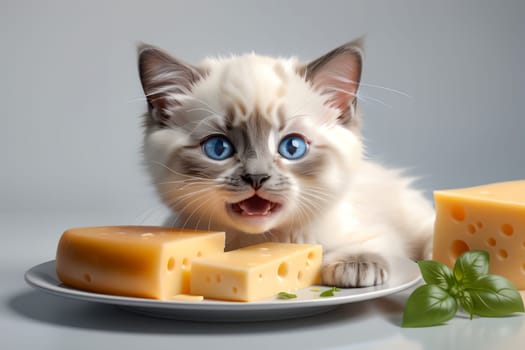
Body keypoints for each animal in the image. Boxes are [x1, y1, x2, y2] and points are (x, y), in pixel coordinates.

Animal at [136, 39, 434, 288]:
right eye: (218, 148)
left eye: (292, 147)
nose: (256, 178)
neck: (264, 240)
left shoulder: (380, 233)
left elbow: (383, 245)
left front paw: (355, 265)